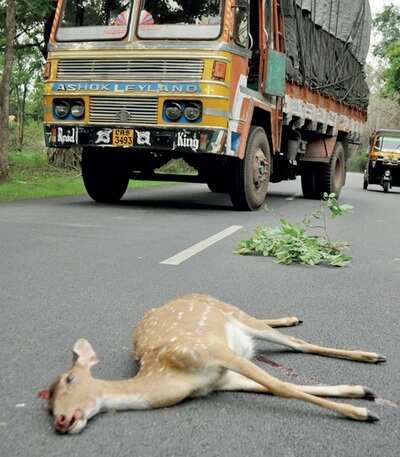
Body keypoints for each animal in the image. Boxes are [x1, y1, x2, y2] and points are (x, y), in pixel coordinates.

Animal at [39, 294, 386, 432]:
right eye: (48, 404)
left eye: (70, 379)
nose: (61, 420)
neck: (175, 378)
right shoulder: (221, 380)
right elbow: (283, 385)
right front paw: (361, 392)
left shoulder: (212, 351)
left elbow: (281, 387)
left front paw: (363, 413)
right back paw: (292, 318)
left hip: (230, 315)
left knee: (299, 344)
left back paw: (372, 354)